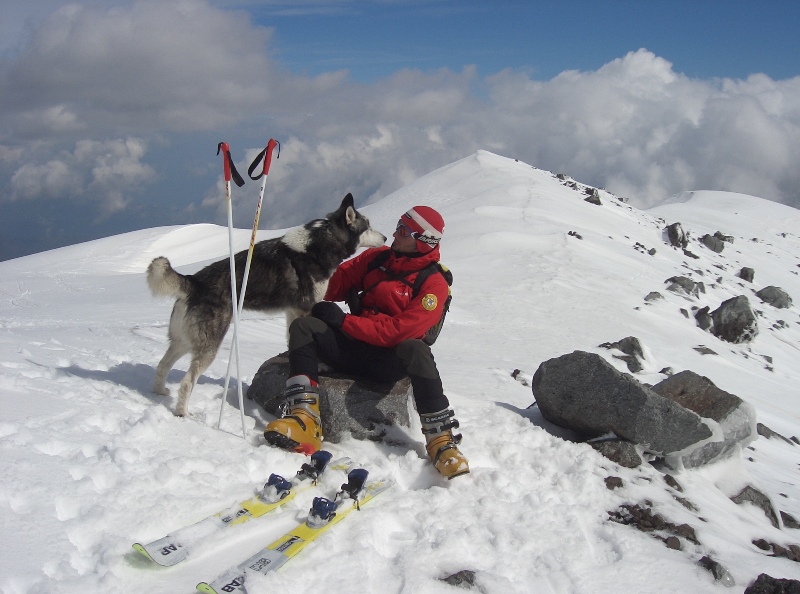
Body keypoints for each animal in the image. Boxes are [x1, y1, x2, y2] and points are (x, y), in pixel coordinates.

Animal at [150, 192, 390, 414]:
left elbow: (291, 340)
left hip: (183, 341)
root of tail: (193, 281)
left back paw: (160, 392)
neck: (320, 244)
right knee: (187, 381)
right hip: (208, 345)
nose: (386, 238)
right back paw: (183, 413)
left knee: (162, 365)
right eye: (368, 227)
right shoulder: (305, 308)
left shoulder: (293, 311)